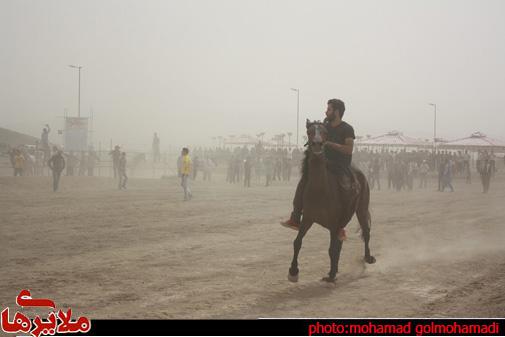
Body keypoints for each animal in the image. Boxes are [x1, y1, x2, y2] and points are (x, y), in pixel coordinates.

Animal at [288, 119, 374, 282]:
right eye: (309, 131)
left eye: (324, 132)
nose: (317, 144)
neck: (320, 190)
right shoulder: (308, 219)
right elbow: (297, 242)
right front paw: (293, 271)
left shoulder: (334, 224)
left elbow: (331, 249)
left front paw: (332, 274)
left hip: (361, 207)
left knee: (365, 231)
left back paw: (367, 258)